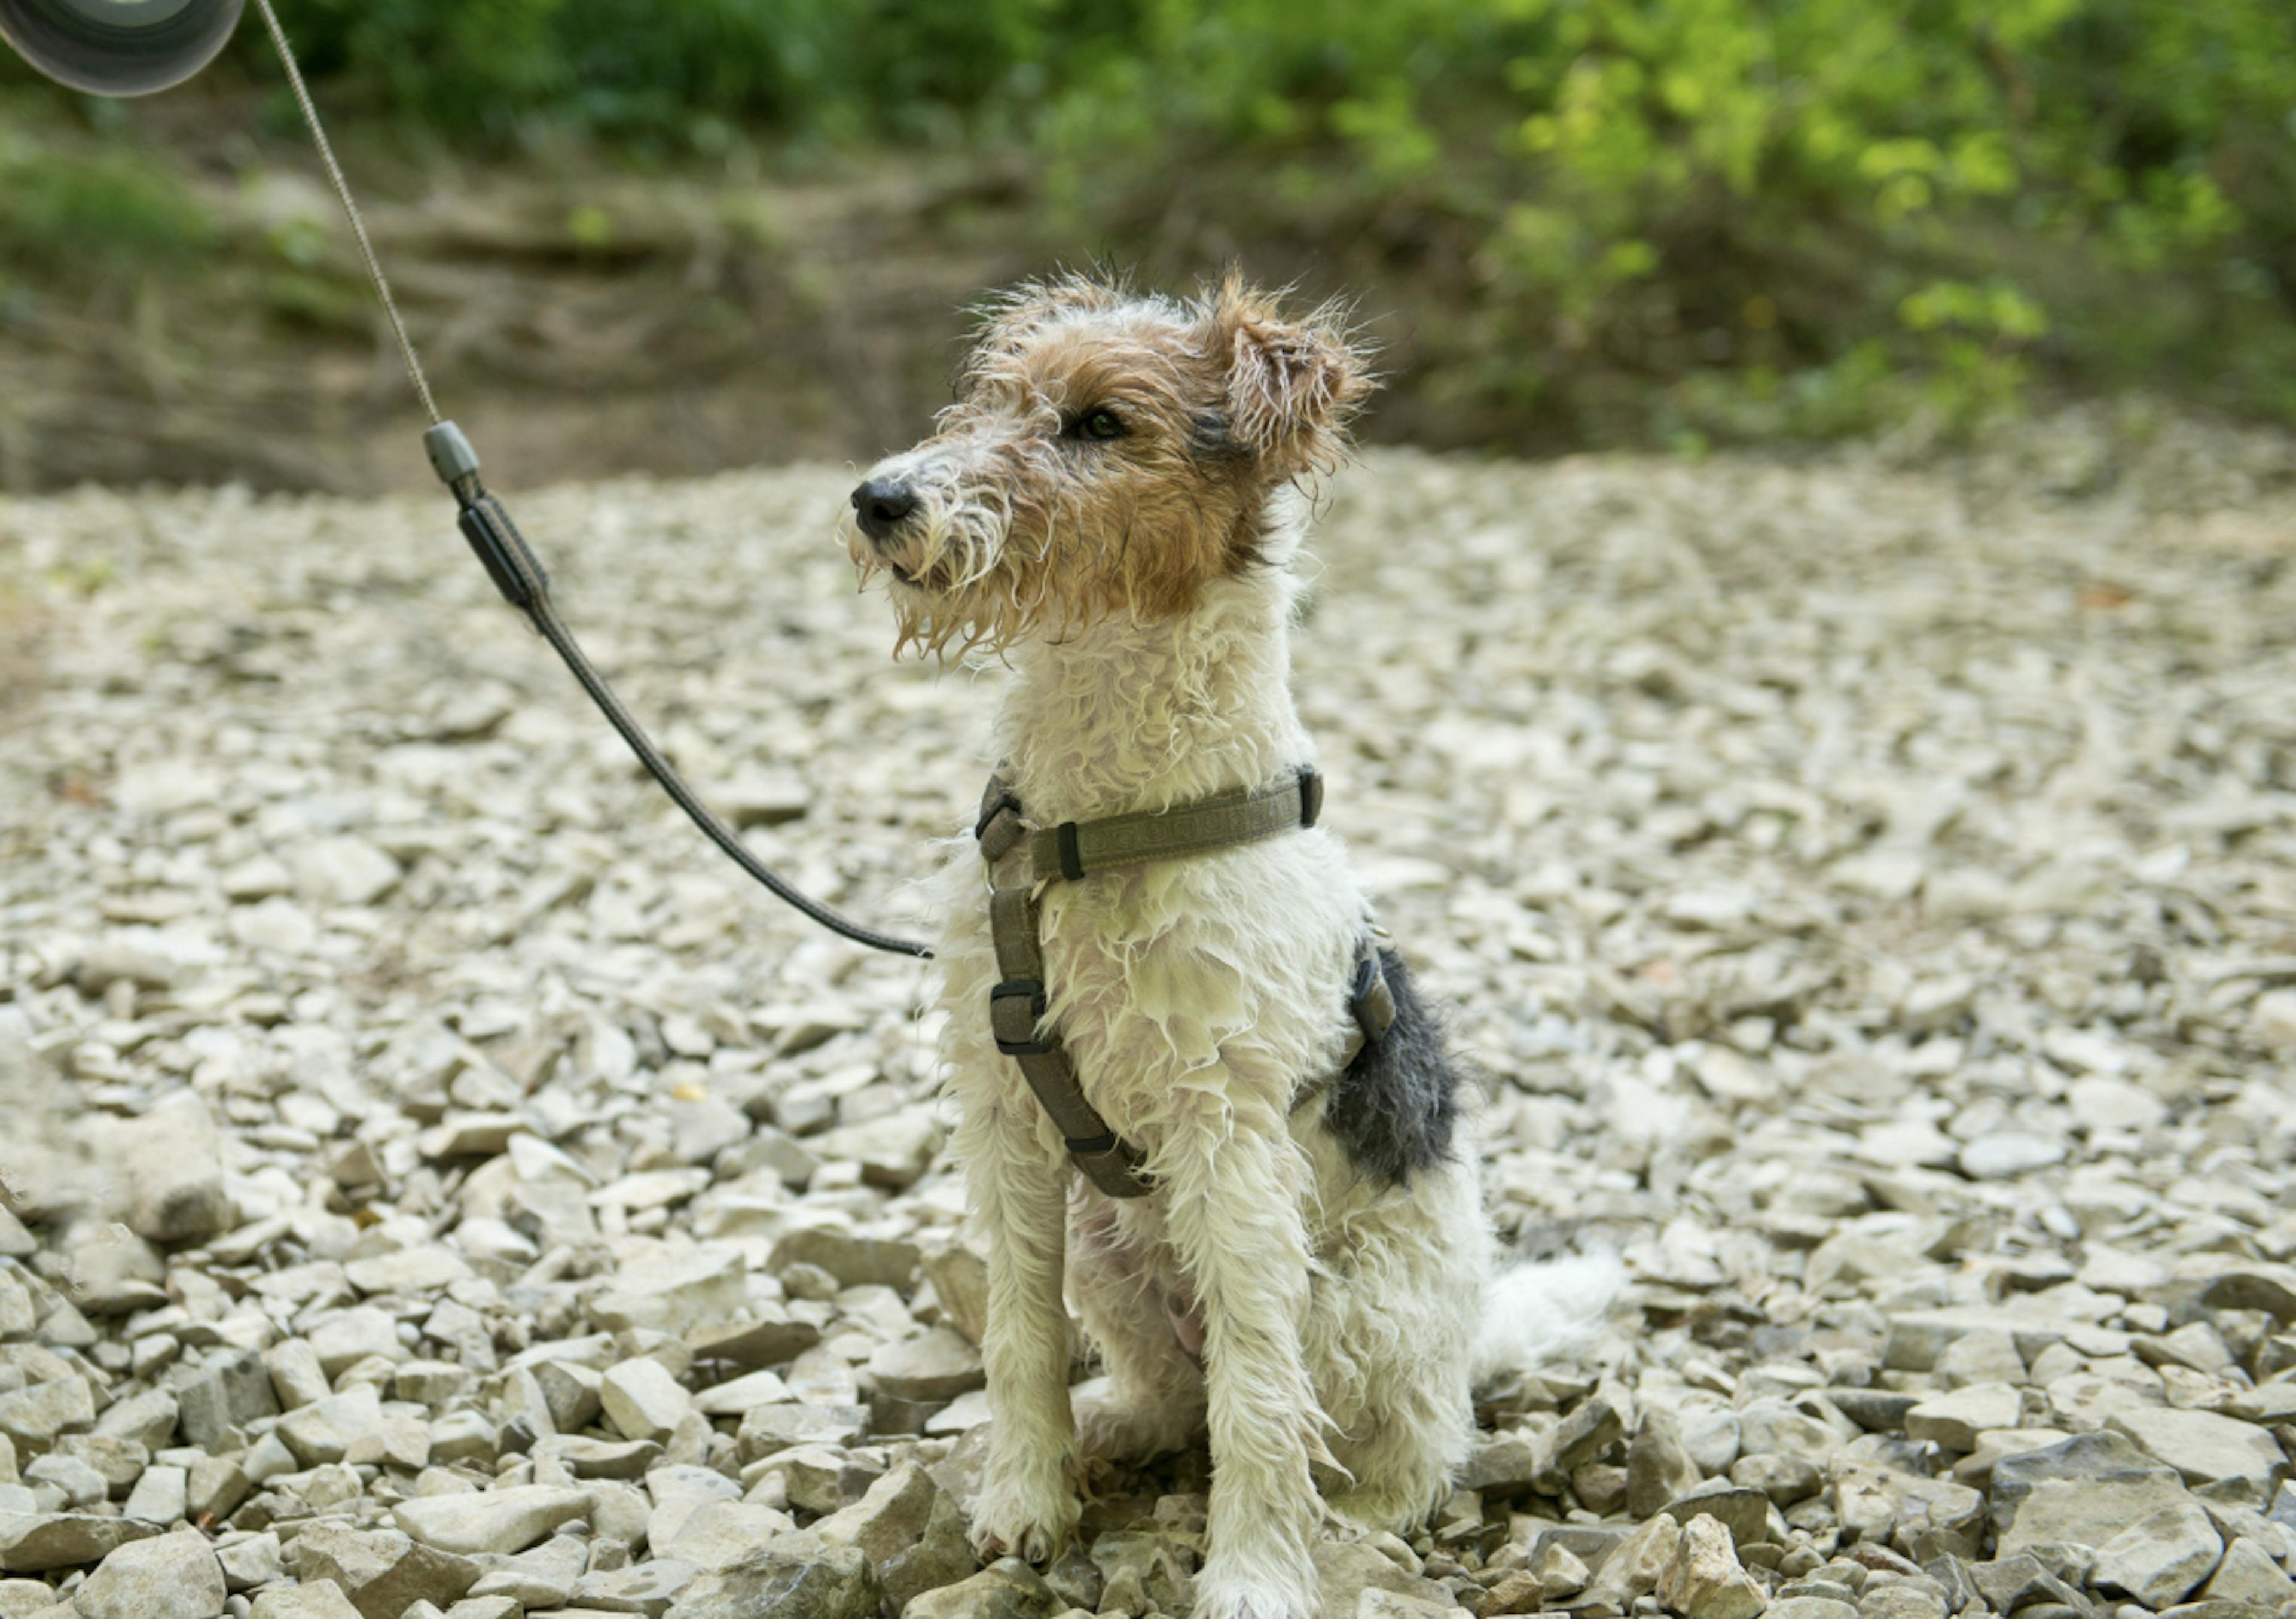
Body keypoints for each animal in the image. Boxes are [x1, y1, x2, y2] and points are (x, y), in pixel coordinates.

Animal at [845, 274, 1616, 1617]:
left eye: (1099, 423)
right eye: (987, 400)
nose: (881, 498)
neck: (1099, 823)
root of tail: (1480, 1319)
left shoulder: (1230, 1136)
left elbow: (1258, 1396)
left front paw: (1253, 1576)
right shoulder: (1005, 1114)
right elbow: (1017, 1335)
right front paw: (1023, 1500)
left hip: (1362, 1302)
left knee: (1396, 1433)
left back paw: (1362, 1521)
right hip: (1114, 1256)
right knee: (1173, 1395)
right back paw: (1110, 1428)